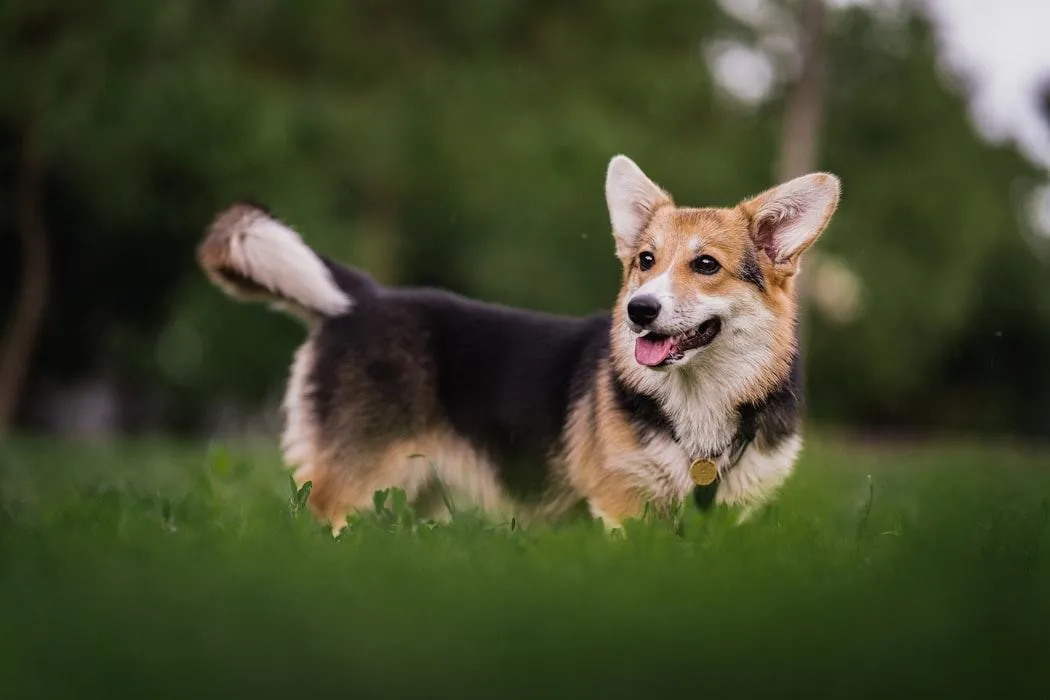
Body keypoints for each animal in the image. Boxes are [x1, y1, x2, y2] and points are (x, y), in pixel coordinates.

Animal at [197, 156, 839, 533]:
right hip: (354, 484)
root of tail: (362, 296)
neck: (698, 402)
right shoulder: (622, 508)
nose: (639, 311)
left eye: (706, 265)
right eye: (645, 262)